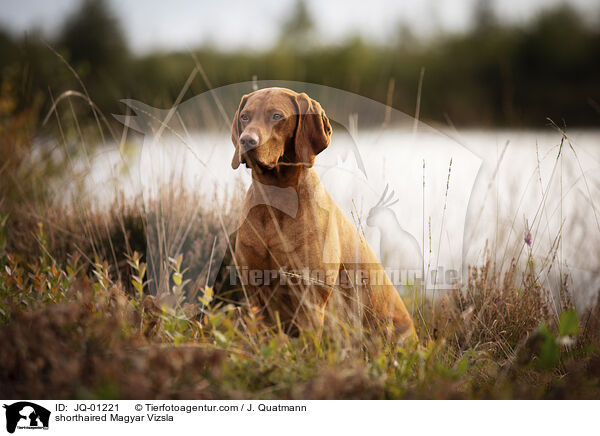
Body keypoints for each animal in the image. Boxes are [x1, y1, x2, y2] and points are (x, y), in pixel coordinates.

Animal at [232, 87, 414, 340]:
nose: (247, 141)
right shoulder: (256, 296)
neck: (275, 200)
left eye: (277, 116)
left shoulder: (311, 300)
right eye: (244, 117)